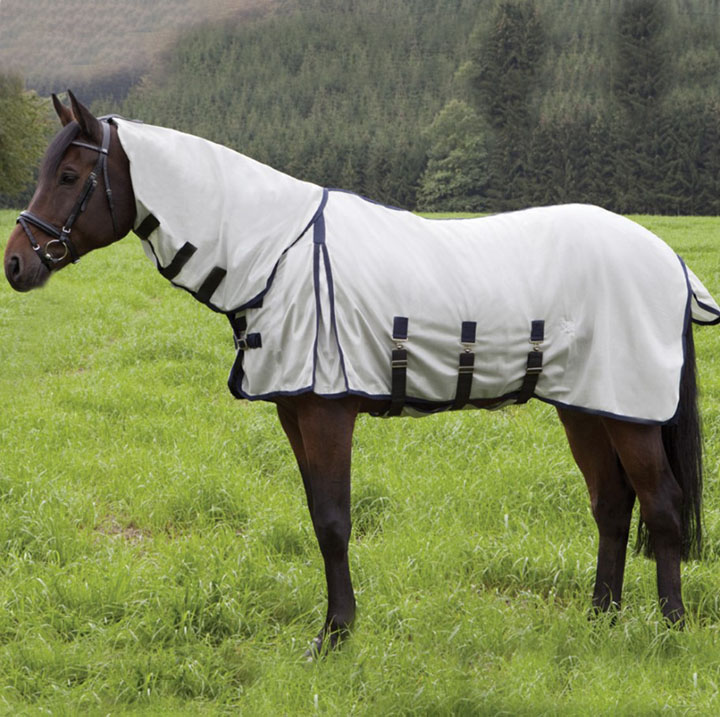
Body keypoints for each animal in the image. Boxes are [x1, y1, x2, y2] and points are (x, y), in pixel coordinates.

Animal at [4, 92, 719, 656]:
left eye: (69, 174)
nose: (16, 264)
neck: (275, 254)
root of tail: (669, 260)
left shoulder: (326, 412)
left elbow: (332, 519)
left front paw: (334, 636)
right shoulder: (294, 411)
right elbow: (318, 515)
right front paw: (337, 628)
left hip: (629, 414)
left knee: (661, 506)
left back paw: (669, 630)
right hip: (588, 406)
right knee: (612, 504)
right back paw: (601, 620)